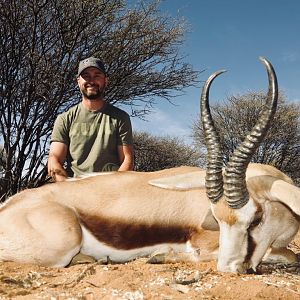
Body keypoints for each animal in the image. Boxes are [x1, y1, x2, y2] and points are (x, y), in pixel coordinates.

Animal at [0, 57, 298, 274]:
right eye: (218, 219)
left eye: (256, 219)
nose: (231, 268)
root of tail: (9, 206)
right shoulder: (205, 244)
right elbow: (285, 255)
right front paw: (160, 256)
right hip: (63, 244)